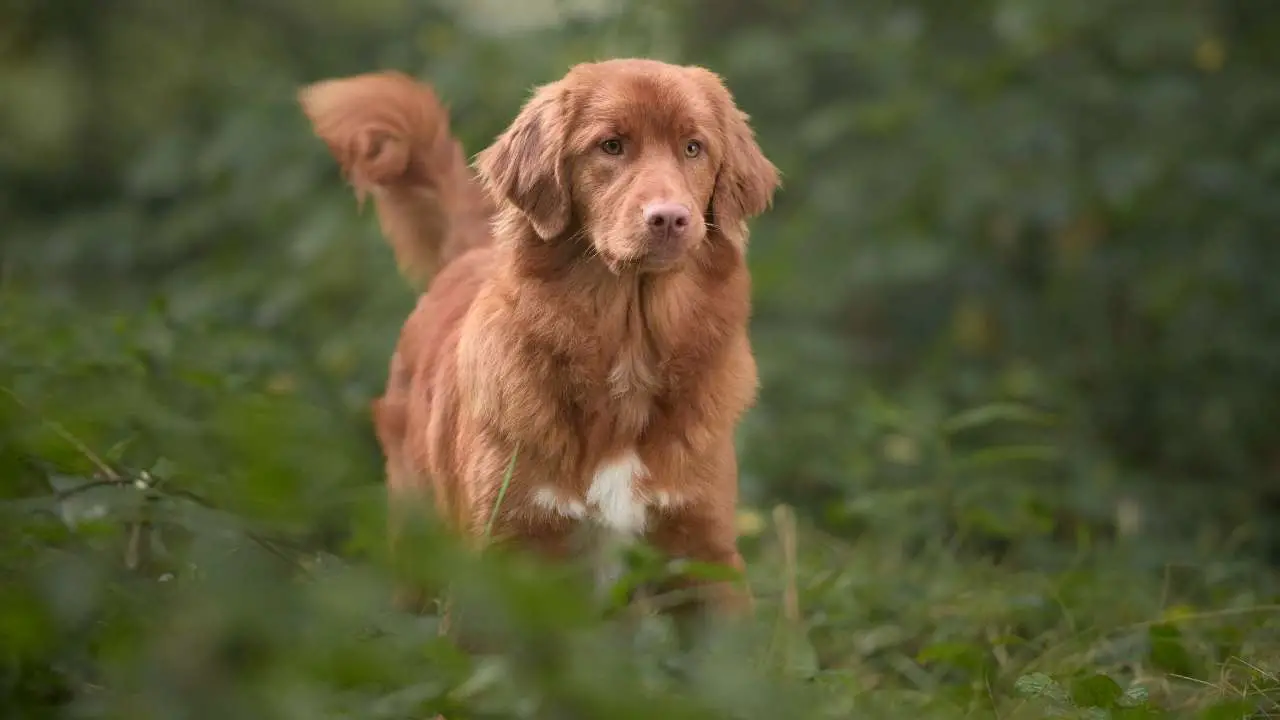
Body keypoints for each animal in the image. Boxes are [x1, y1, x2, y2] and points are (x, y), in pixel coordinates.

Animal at [299, 58, 778, 630]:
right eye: (611, 146)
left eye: (693, 147)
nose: (669, 218)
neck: (627, 347)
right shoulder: (503, 556)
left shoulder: (703, 555)